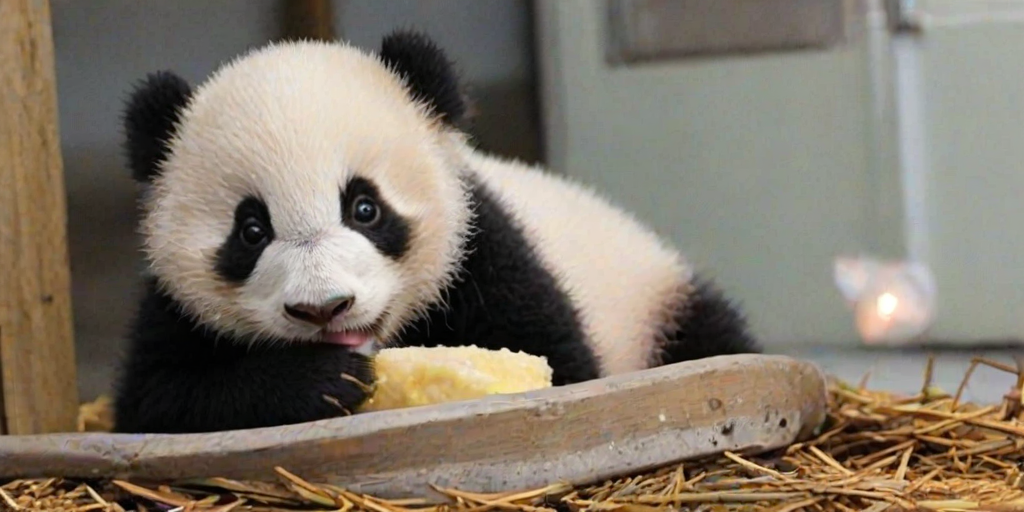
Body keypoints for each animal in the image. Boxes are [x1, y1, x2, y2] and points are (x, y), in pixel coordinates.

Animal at [111, 30, 760, 434]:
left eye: (364, 208)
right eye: (251, 230)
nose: (324, 308)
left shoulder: (485, 253)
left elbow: (560, 362)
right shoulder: (172, 307)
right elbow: (158, 401)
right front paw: (319, 382)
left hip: (659, 301)